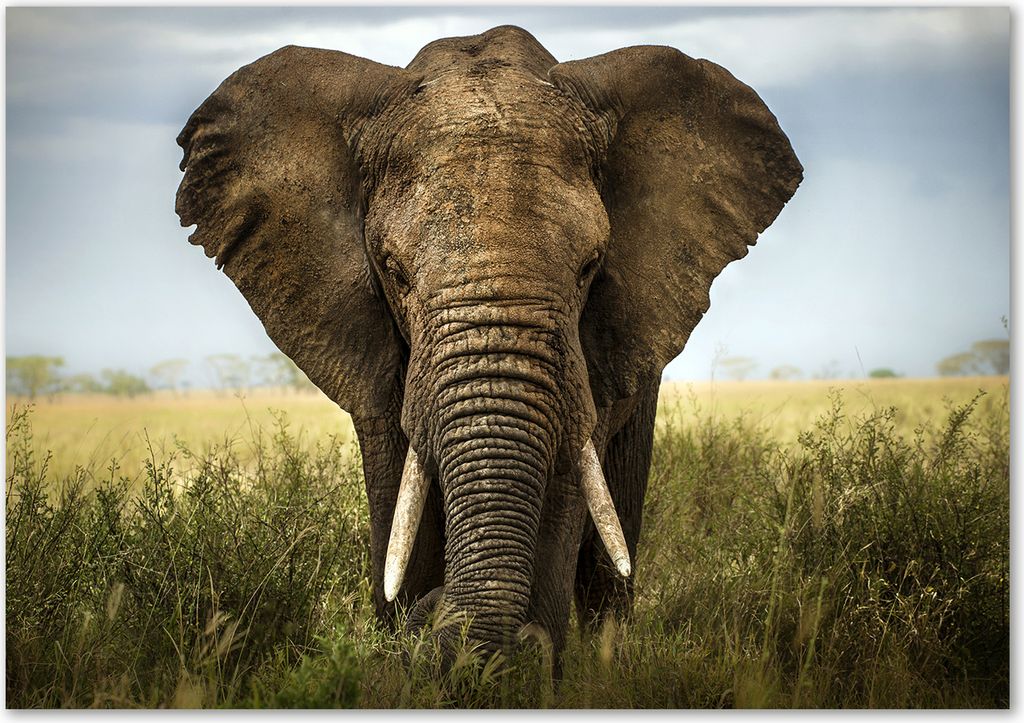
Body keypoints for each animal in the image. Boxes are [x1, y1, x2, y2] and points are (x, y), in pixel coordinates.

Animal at [175, 25, 801, 665]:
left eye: (590, 267)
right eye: (394, 271)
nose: (436, 614)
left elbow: (564, 489)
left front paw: (524, 660)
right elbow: (399, 498)